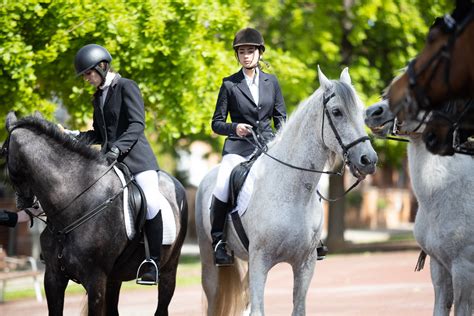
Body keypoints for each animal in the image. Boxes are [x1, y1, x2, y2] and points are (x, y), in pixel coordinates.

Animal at [3, 112, 189, 314]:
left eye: (2, 152)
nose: (27, 204)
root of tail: (175, 183)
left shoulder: (95, 281)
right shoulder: (53, 278)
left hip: (169, 270)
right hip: (115, 278)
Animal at [195, 65, 378, 314]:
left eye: (361, 112)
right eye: (337, 112)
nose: (368, 160)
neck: (294, 192)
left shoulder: (305, 264)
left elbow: (298, 308)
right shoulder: (260, 261)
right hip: (211, 264)